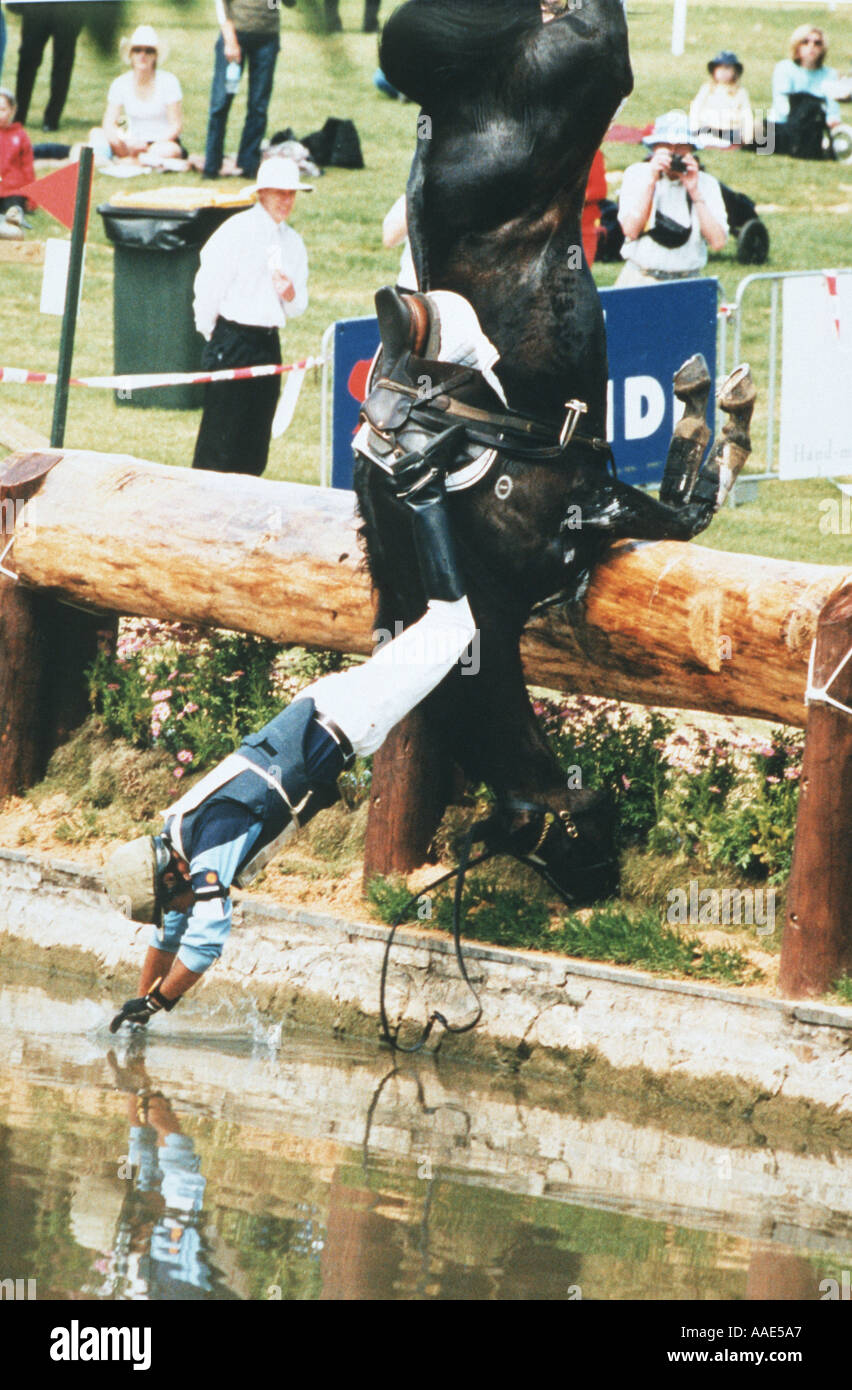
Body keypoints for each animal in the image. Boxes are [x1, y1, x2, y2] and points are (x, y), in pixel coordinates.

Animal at [351, 0, 750, 900]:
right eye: (555, 848)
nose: (594, 883)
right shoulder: (588, 510)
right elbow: (680, 501)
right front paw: (709, 417)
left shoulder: (582, 506)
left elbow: (686, 505)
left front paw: (715, 423)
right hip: (570, 89)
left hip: (579, 81)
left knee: (597, 26)